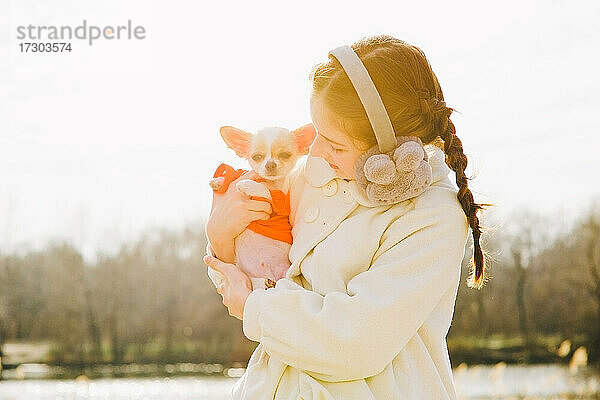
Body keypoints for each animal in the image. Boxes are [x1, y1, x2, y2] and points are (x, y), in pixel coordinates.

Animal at [209, 123, 316, 290]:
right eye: (257, 157)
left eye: (285, 155)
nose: (270, 164)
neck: (268, 181)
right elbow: (235, 176)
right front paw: (219, 181)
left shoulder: (280, 203)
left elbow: (265, 191)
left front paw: (247, 185)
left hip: (288, 278)